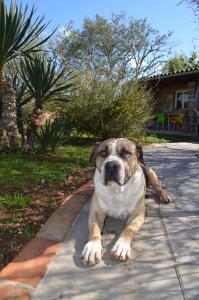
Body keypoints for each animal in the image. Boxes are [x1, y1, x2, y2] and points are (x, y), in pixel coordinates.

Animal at [81, 137, 171, 266]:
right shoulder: (96, 213)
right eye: (103, 153)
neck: (117, 190)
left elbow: (129, 229)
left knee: (158, 187)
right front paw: (92, 249)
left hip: (150, 172)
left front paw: (121, 246)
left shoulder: (137, 215)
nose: (111, 165)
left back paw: (164, 195)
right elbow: (94, 229)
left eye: (126, 153)